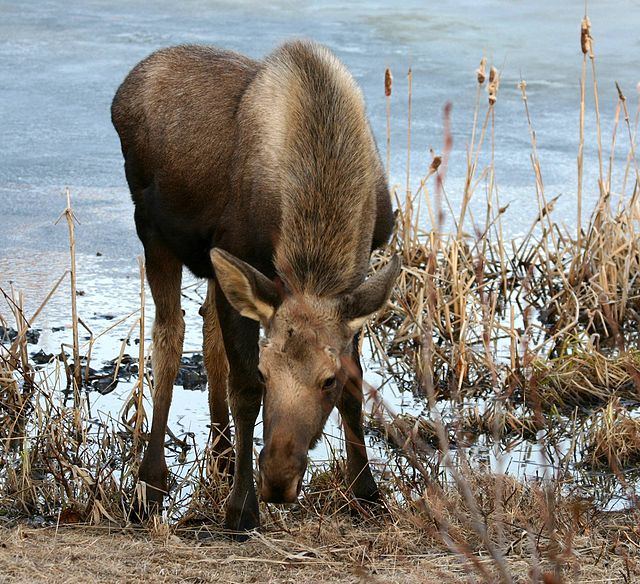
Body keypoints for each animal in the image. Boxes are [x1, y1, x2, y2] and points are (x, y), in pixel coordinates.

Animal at [111, 40, 400, 532]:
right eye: (268, 375)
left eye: (327, 380)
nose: (279, 480)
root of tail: (124, 89)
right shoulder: (242, 256)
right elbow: (242, 389)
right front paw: (242, 508)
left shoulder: (354, 283)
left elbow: (357, 385)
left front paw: (367, 493)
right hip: (151, 230)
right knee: (169, 337)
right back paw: (150, 484)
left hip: (211, 265)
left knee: (206, 330)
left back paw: (223, 455)